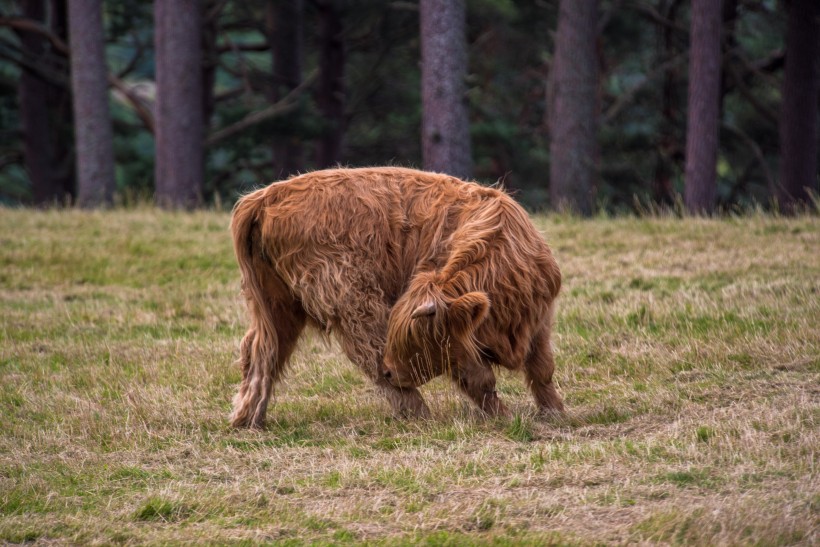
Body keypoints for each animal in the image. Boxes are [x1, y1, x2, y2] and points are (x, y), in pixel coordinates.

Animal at [231, 167, 564, 428]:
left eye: (418, 341)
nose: (392, 372)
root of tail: (268, 196)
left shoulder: (539, 320)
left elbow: (542, 368)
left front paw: (554, 412)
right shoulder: (462, 343)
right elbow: (479, 378)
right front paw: (503, 416)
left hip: (278, 304)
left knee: (260, 351)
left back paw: (248, 419)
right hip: (352, 299)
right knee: (367, 354)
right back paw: (420, 414)